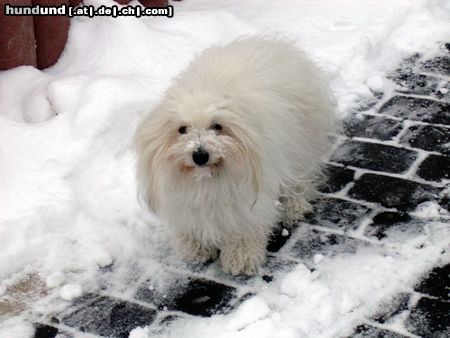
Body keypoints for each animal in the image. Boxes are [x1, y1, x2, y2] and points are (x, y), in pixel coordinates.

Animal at [135, 36, 336, 274]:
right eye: (182, 129)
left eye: (217, 127)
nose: (200, 155)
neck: (208, 180)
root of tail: (275, 45)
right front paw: (195, 247)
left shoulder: (247, 194)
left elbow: (244, 226)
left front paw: (242, 255)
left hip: (300, 144)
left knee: (299, 178)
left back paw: (295, 206)